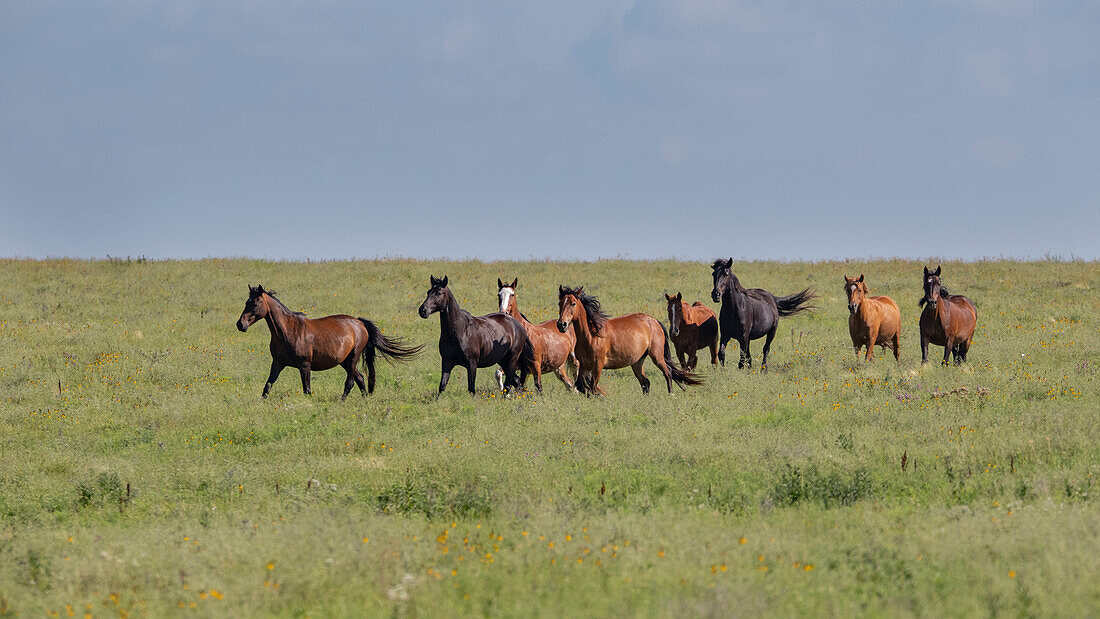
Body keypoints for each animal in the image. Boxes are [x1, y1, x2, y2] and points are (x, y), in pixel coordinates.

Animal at [236, 283, 420, 400]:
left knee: (351, 381)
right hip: (344, 361)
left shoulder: (304, 365)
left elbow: (307, 390)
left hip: (353, 358)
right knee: (360, 379)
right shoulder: (278, 363)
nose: (240, 324)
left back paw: (342, 401)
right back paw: (364, 399)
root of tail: (360, 323)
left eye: (255, 303)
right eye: (246, 302)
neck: (288, 331)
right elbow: (267, 386)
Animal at [554, 288, 699, 398]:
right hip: (637, 362)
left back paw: (671, 394)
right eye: (560, 303)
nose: (562, 324)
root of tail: (654, 321)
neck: (592, 335)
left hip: (657, 356)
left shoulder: (598, 365)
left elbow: (593, 387)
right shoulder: (584, 366)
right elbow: (582, 386)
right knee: (645, 382)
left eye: (573, 303)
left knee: (667, 372)